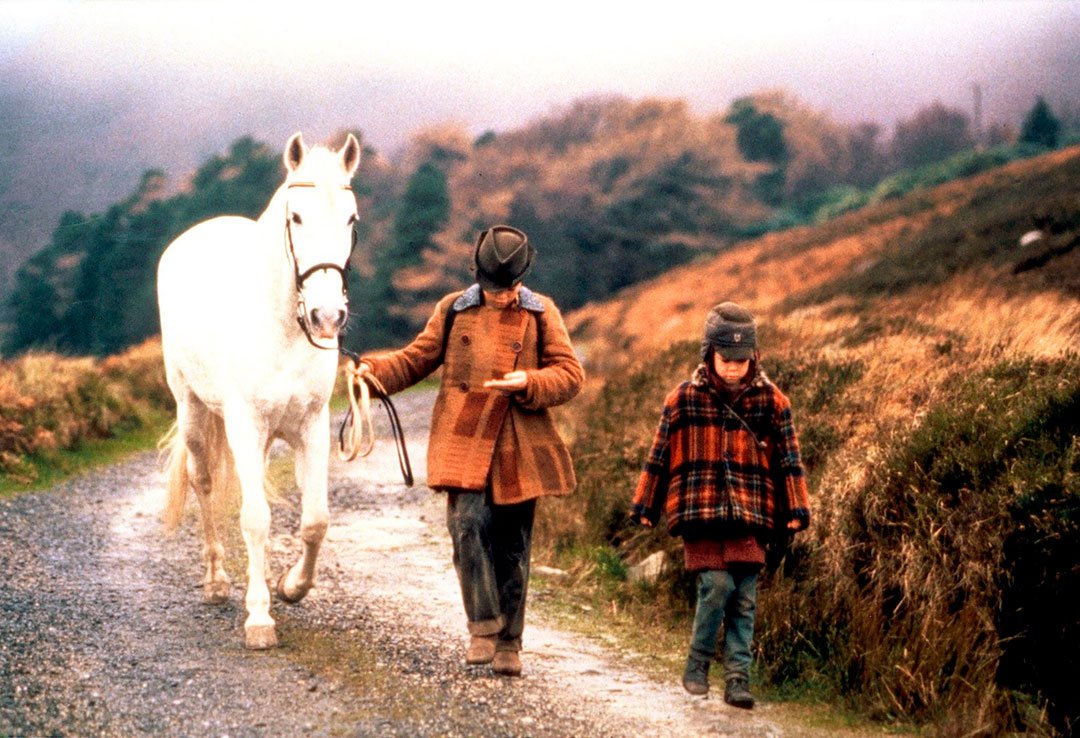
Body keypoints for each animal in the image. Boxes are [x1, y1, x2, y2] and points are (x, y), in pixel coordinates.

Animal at [157, 133, 362, 652]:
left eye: (350, 219)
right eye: (297, 217)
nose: (327, 317)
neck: (283, 328)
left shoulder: (311, 427)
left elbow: (315, 520)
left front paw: (291, 588)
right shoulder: (245, 426)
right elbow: (254, 518)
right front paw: (259, 619)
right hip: (192, 410)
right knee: (203, 481)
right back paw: (216, 582)